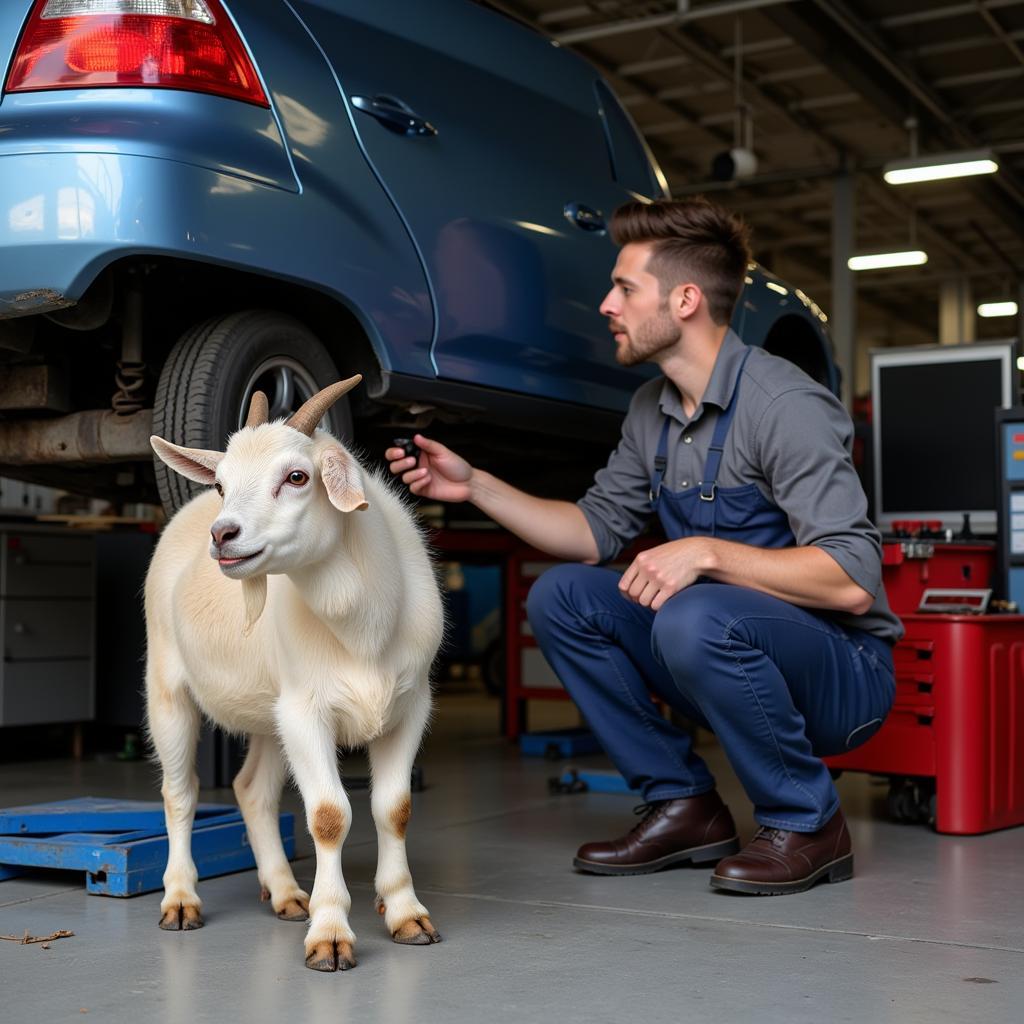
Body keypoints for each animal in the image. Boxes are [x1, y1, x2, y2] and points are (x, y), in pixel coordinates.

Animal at [145, 380, 444, 970]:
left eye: (298, 477)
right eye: (221, 483)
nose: (223, 534)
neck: (362, 625)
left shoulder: (409, 707)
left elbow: (394, 809)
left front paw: (406, 914)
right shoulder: (307, 712)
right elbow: (329, 815)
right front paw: (329, 935)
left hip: (269, 714)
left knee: (252, 791)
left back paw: (285, 894)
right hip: (167, 688)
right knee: (180, 793)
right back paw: (181, 900)